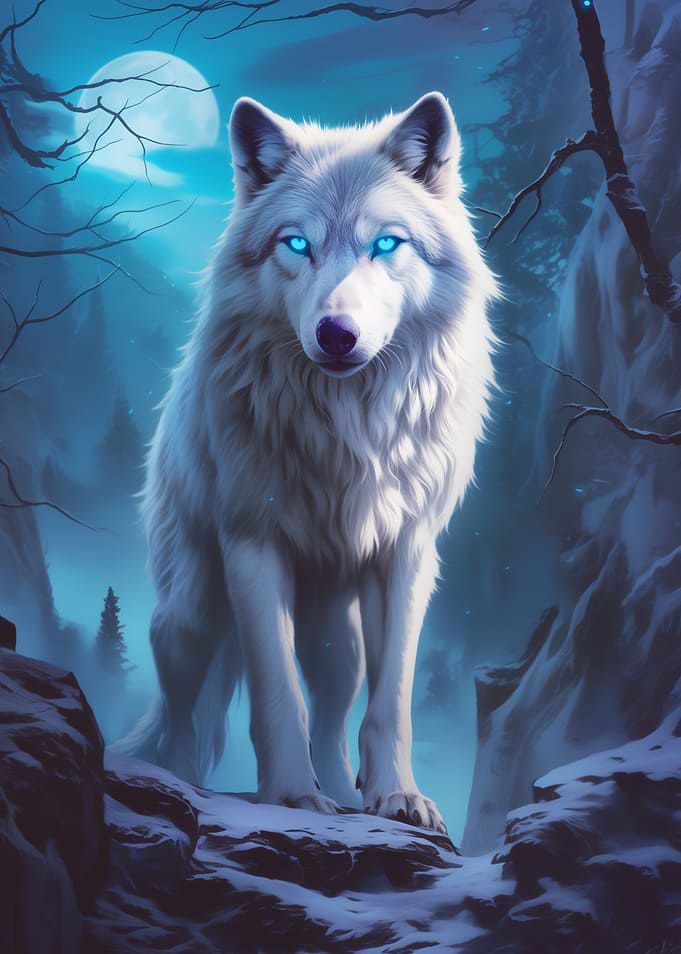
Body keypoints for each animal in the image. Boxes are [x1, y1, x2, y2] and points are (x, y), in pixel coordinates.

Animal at [118, 91, 497, 834]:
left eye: (387, 243)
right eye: (297, 244)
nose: (336, 333)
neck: (348, 427)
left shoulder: (407, 552)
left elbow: (390, 701)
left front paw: (398, 796)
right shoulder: (251, 544)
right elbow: (274, 695)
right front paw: (291, 797)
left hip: (335, 642)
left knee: (332, 712)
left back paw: (346, 795)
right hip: (188, 616)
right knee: (182, 716)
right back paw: (176, 779)